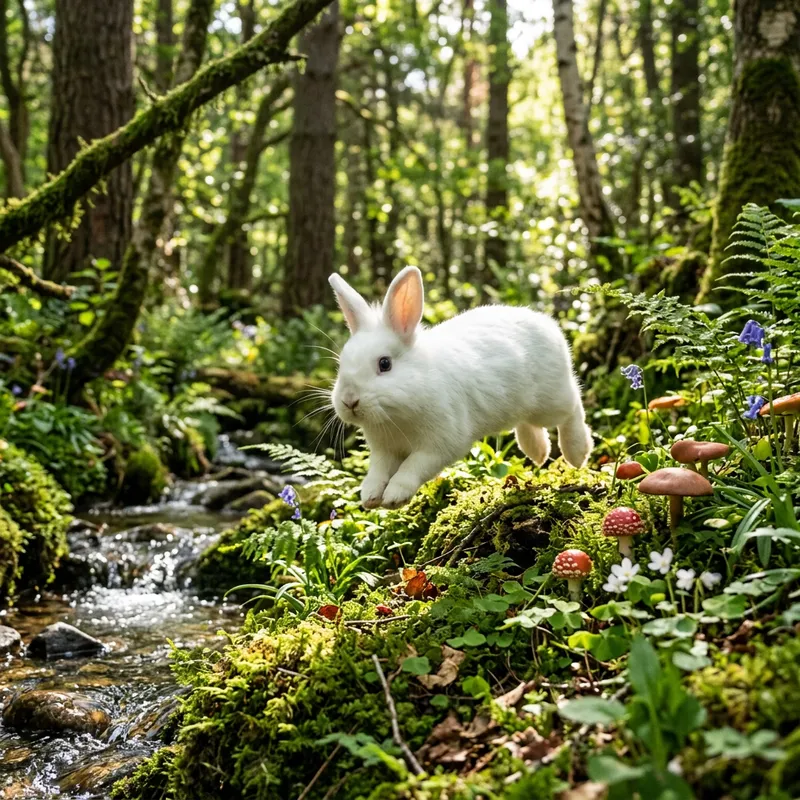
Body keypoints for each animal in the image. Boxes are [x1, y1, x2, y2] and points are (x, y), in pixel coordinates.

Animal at [328, 266, 593, 509]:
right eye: (341, 364)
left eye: (384, 364)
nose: (349, 400)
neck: (396, 415)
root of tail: (547, 324)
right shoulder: (384, 452)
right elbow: (378, 472)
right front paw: (370, 497)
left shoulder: (439, 445)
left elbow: (412, 467)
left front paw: (394, 496)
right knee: (529, 423)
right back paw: (537, 451)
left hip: (551, 399)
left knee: (573, 407)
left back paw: (577, 452)